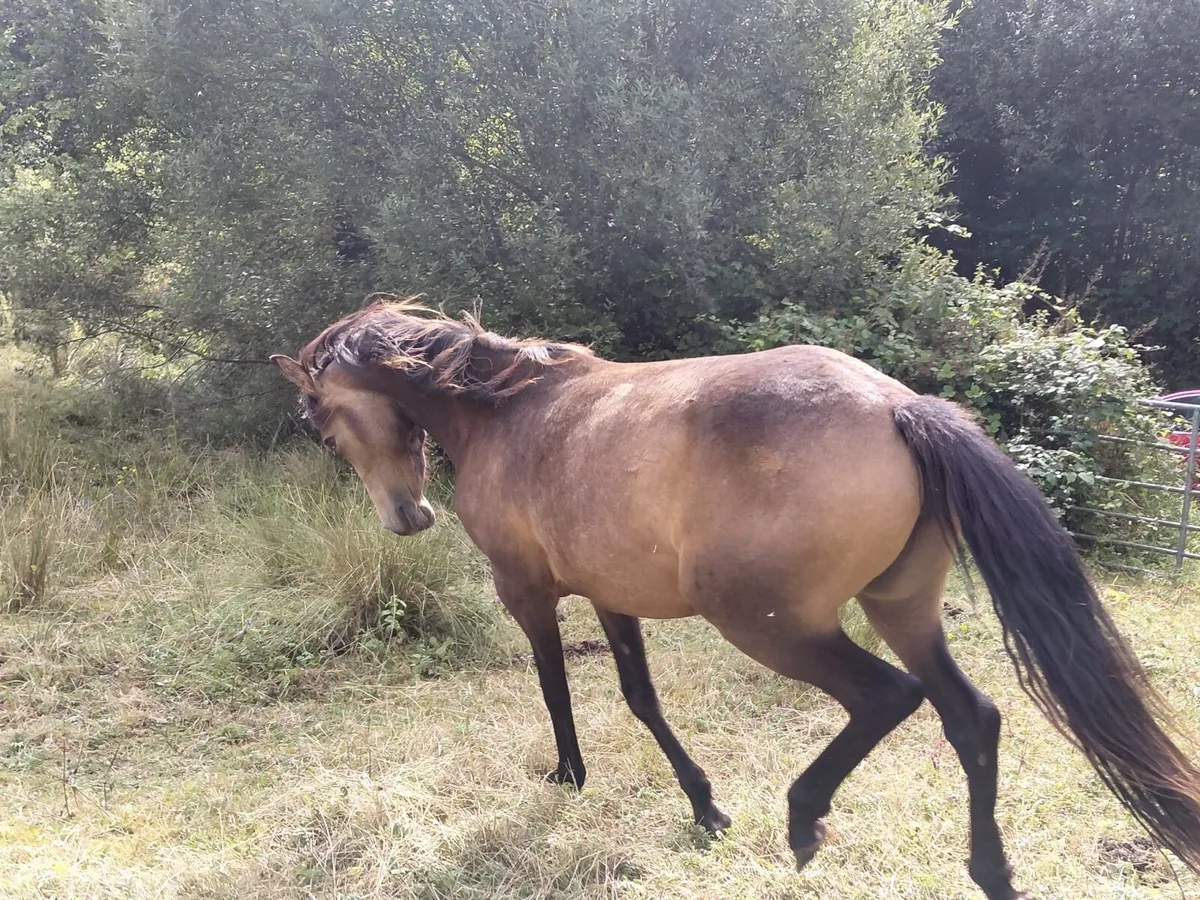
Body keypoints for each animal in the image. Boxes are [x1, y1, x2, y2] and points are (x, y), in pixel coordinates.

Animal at [272, 299, 1200, 899]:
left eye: (321, 421)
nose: (406, 516)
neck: (505, 410)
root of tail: (900, 407)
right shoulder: (612, 596)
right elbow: (640, 696)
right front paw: (704, 806)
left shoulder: (526, 591)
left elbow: (556, 688)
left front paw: (570, 776)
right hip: (902, 610)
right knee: (970, 717)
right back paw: (990, 872)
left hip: (771, 625)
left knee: (887, 698)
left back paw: (804, 820)